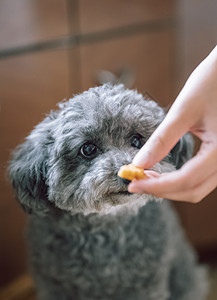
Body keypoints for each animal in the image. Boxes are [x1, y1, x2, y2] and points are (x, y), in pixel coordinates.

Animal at [8, 84, 207, 300]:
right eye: (88, 149)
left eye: (137, 140)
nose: (127, 176)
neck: (106, 227)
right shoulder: (54, 285)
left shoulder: (145, 285)